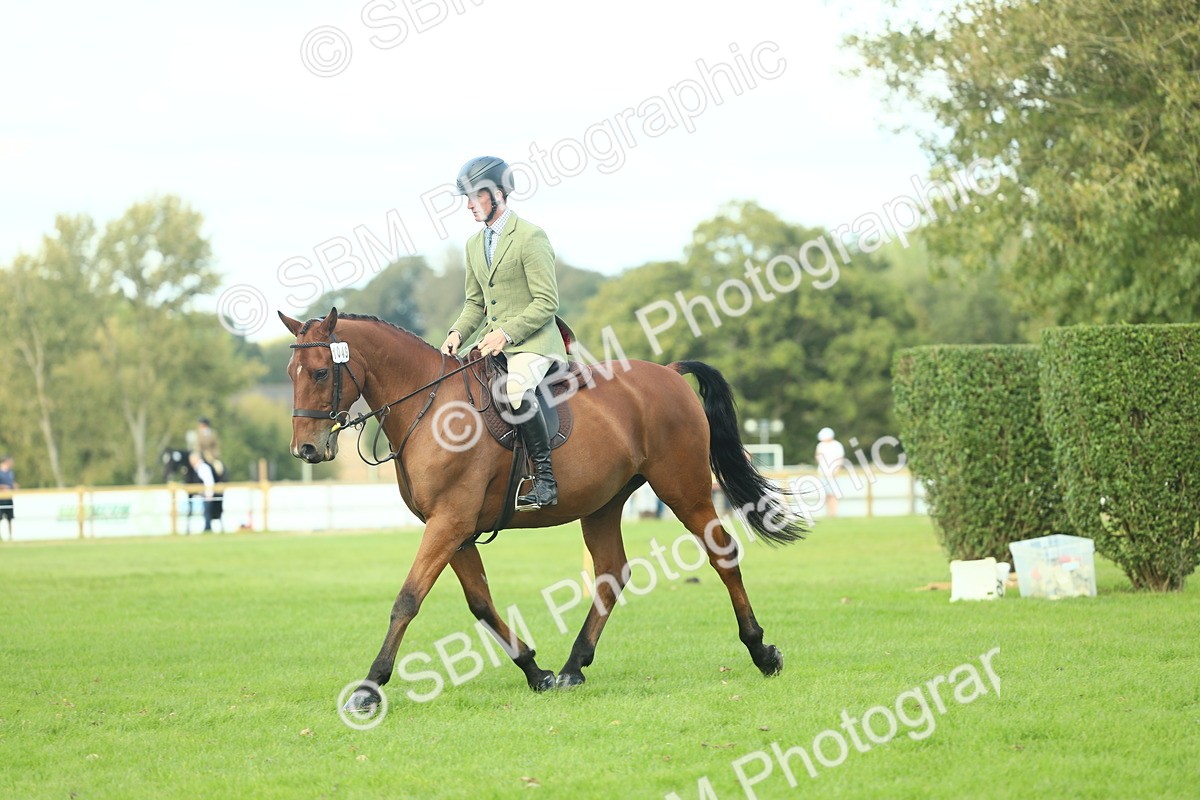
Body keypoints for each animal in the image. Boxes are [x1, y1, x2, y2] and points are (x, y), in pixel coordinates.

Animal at [279, 308, 807, 713]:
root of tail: (669, 372)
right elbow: (481, 603)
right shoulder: (456, 530)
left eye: (321, 372)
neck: (430, 407)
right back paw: (574, 667)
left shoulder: (448, 524)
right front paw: (536, 670)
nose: (307, 449)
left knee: (722, 554)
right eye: (290, 375)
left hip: (684, 489)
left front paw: (369, 688)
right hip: (603, 503)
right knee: (612, 572)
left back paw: (761, 651)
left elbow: (407, 600)